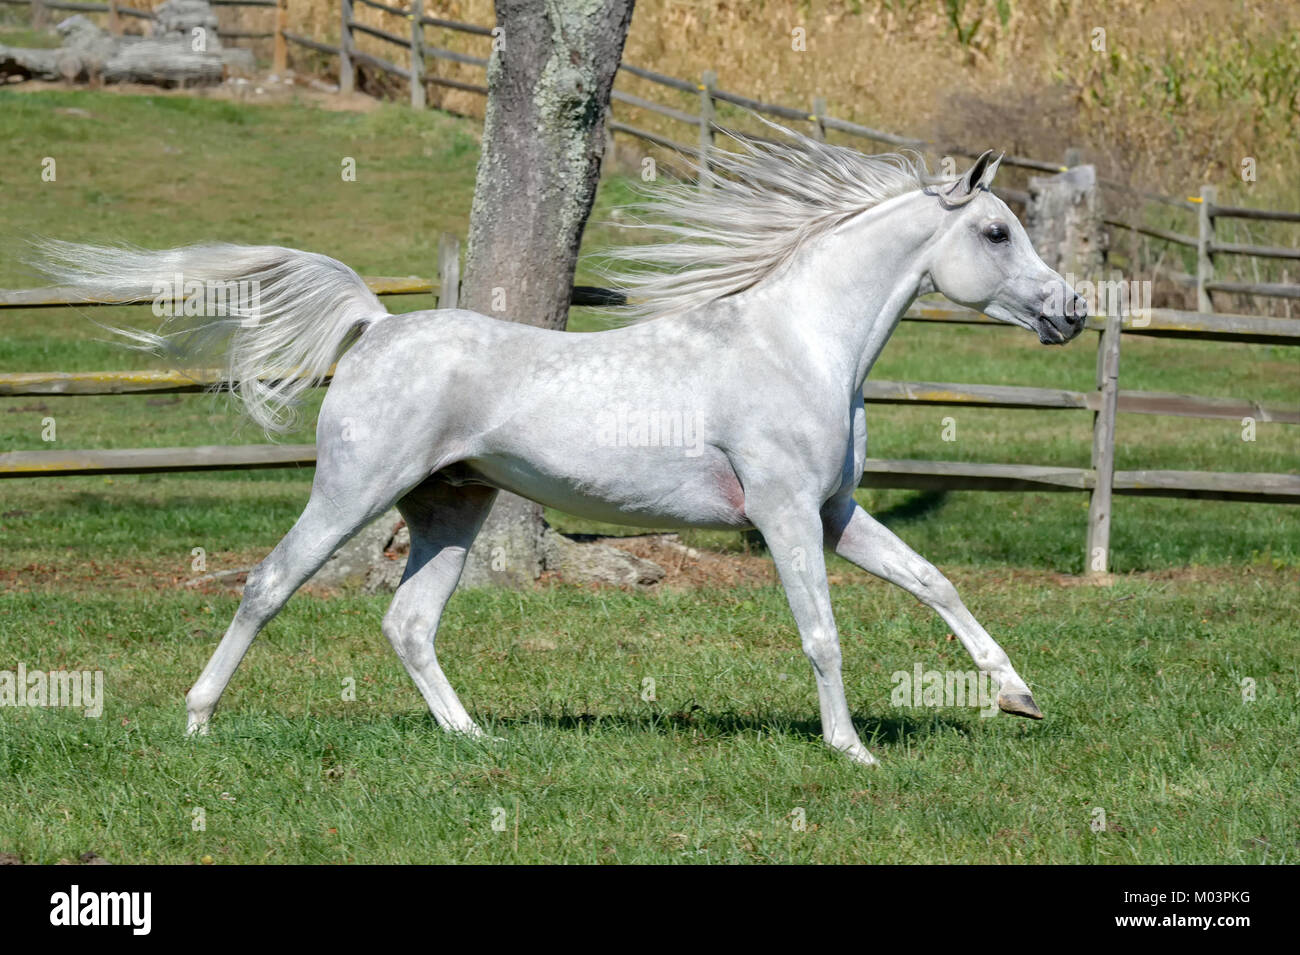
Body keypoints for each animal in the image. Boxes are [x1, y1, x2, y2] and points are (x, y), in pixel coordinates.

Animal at [40, 132, 1086, 764]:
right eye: (996, 230)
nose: (1072, 310)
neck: (798, 343)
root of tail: (379, 325)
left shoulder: (834, 514)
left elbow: (937, 581)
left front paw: (1020, 696)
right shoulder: (784, 515)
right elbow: (822, 634)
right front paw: (852, 749)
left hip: (451, 507)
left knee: (408, 624)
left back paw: (473, 740)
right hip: (352, 492)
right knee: (269, 585)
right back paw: (197, 720)